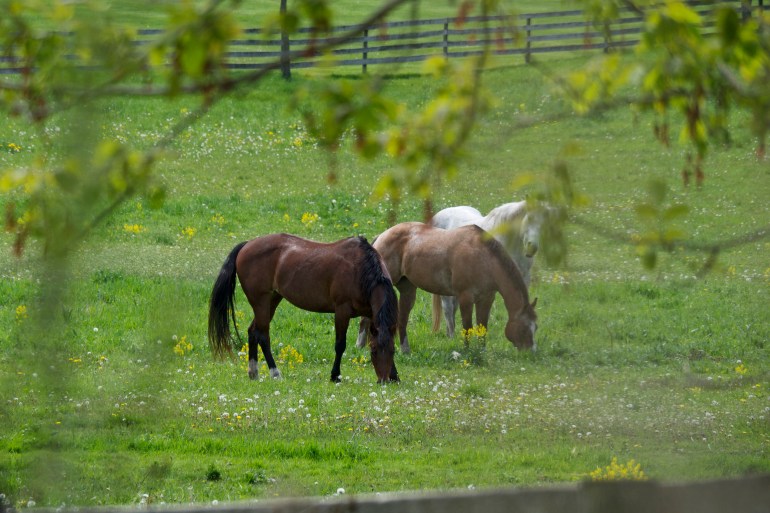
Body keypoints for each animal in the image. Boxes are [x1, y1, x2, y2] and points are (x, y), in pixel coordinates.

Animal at [207, 234, 400, 382]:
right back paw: (275, 373)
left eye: (392, 351)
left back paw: (253, 372)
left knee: (253, 331)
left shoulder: (371, 314)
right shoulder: (341, 311)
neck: (360, 270)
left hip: (272, 300)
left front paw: (395, 375)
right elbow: (340, 345)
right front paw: (334, 376)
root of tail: (247, 245)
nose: (384, 381)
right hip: (260, 301)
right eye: (373, 351)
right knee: (262, 335)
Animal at [354, 222, 536, 354]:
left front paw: (482, 351)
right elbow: (467, 327)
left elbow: (482, 327)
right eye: (525, 328)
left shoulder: (486, 299)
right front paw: (467, 352)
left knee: (402, 320)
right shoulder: (465, 298)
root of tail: (381, 236)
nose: (531, 353)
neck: (483, 258)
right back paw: (360, 345)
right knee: (367, 318)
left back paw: (404, 351)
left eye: (536, 327)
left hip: (408, 290)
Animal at [426, 202, 544, 338]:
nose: (532, 248)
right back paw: (452, 337)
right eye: (529, 218)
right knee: (448, 308)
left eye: (544, 221)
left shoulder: (522, 279)